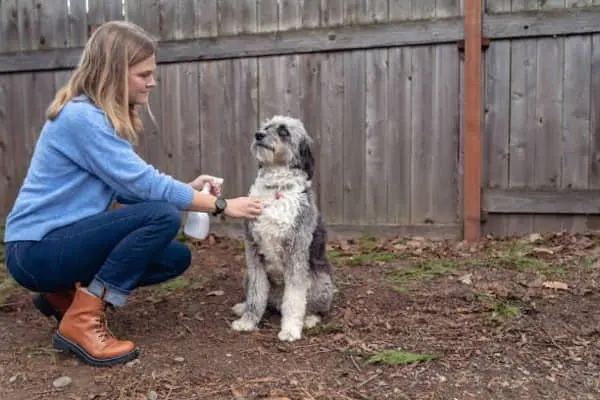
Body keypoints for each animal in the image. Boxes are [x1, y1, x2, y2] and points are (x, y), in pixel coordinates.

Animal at [229, 114, 332, 342]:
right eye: (267, 127)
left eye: (284, 131)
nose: (258, 135)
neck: (275, 188)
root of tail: (276, 301)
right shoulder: (253, 252)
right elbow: (256, 293)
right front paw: (248, 321)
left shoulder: (296, 252)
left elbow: (294, 298)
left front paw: (291, 329)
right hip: (247, 276)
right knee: (263, 298)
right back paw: (243, 307)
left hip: (322, 283)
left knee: (314, 307)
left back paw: (309, 319)